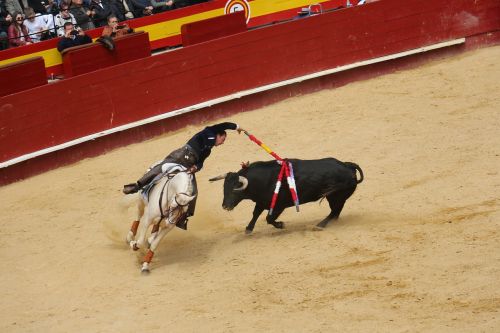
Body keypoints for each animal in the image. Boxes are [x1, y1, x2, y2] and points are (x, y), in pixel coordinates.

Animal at [210, 158, 364, 233]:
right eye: (224, 188)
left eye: (235, 190)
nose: (225, 206)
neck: (262, 180)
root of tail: (348, 166)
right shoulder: (262, 201)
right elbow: (256, 214)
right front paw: (248, 229)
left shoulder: (279, 205)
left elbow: (269, 218)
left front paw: (281, 224)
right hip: (337, 197)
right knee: (336, 212)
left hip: (335, 196)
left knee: (334, 211)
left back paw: (320, 225)